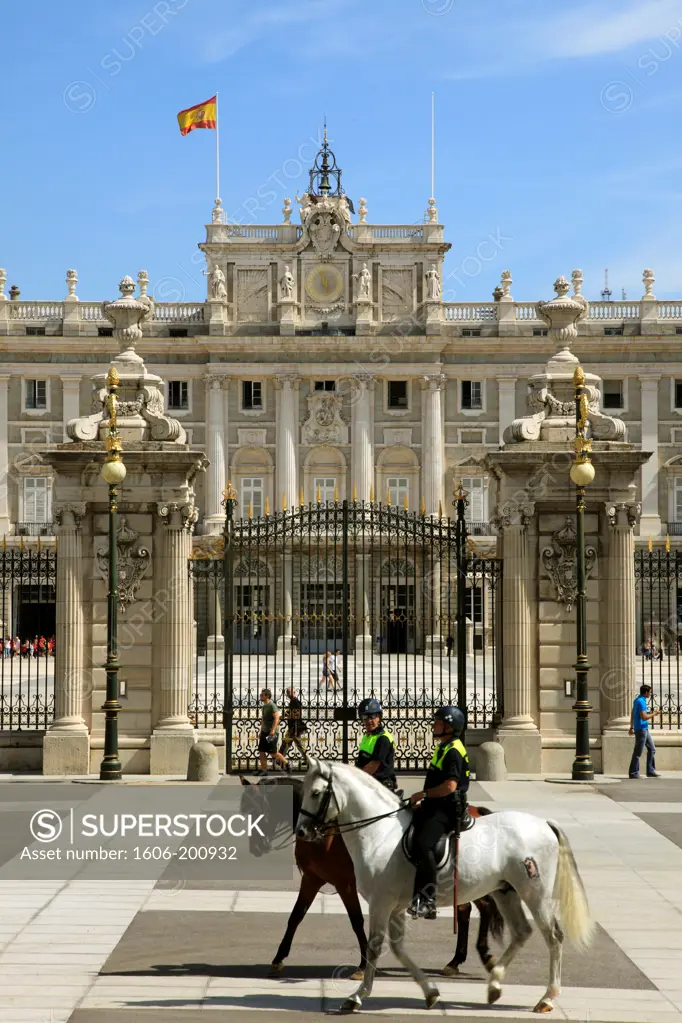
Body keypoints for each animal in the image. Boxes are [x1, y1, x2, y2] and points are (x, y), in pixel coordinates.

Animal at [240, 769, 501, 977]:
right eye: (244, 812)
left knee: (478, 908)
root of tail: (477, 811)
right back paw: (461, 960)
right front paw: (278, 959)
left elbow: (356, 920)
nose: (255, 848)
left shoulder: (345, 884)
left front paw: (364, 964)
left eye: (259, 809)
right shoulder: (313, 879)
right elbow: (296, 916)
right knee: (474, 909)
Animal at [296, 757, 593, 1010]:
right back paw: (495, 984)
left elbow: (375, 945)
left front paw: (358, 996)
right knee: (521, 932)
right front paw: (430, 992)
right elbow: (398, 948)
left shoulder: (381, 902)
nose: (301, 831)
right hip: (505, 891)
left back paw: (547, 997)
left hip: (535, 892)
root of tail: (544, 823)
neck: (380, 833)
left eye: (316, 792)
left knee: (553, 936)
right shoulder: (395, 906)